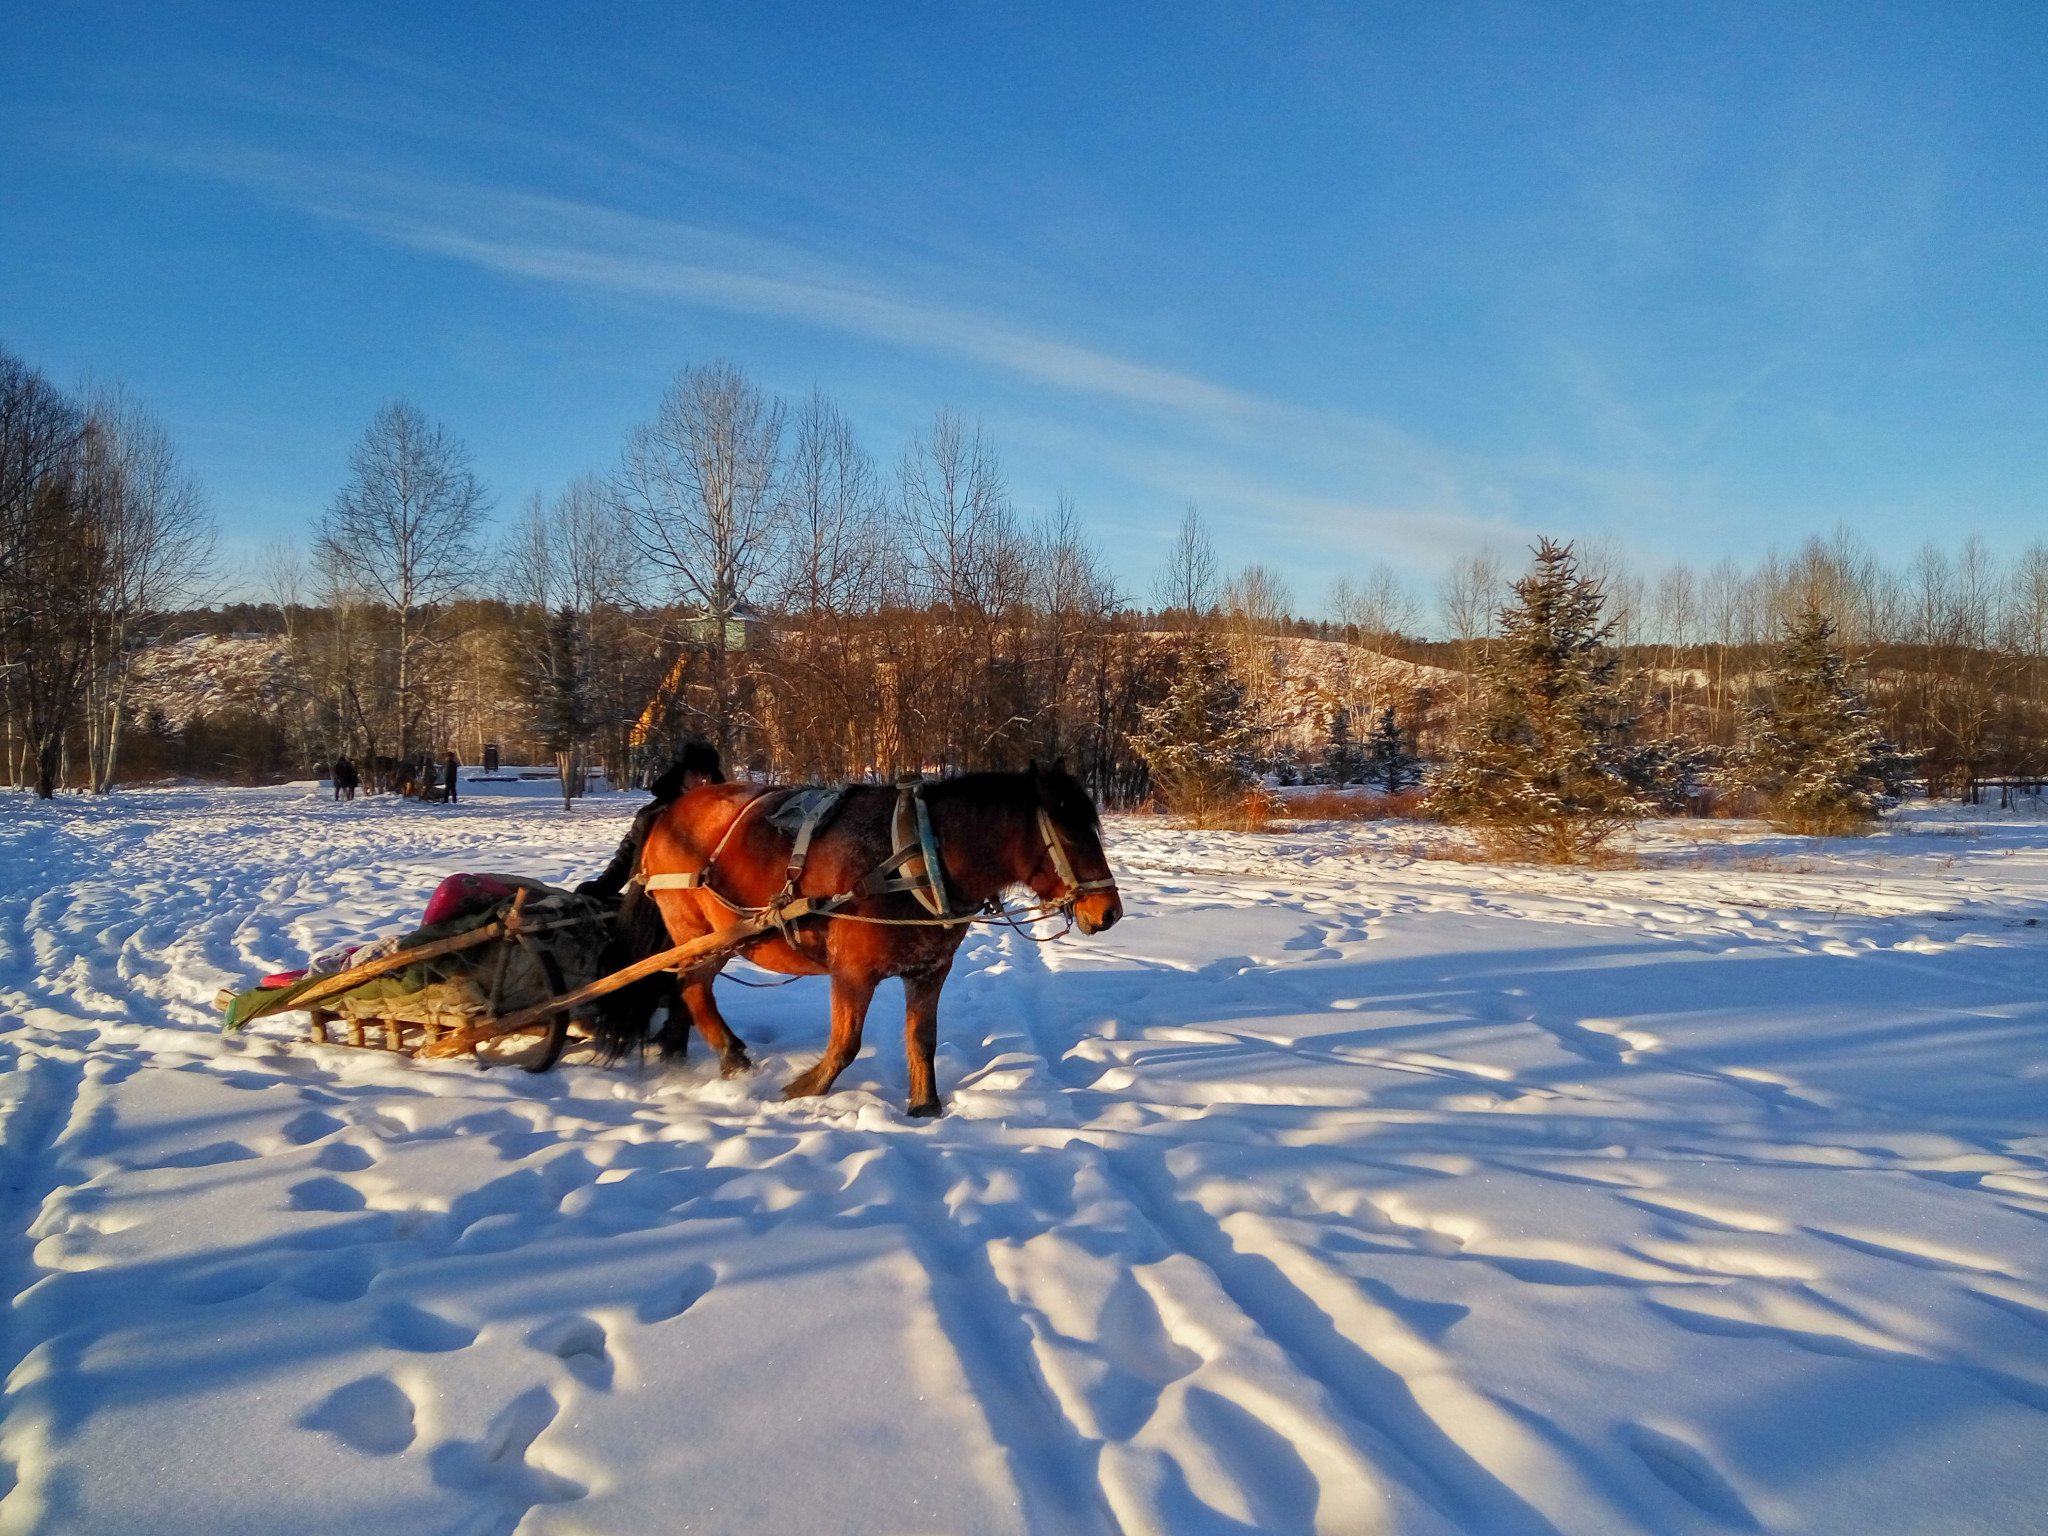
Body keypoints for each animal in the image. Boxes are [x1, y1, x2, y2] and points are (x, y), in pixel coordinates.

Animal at [614, 765, 1122, 1122]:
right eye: (1072, 833)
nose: (1109, 913)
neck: (917, 858)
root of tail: (668, 815)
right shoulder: (852, 972)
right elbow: (845, 1045)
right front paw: (801, 1092)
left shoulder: (929, 972)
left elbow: (921, 1040)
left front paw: (924, 1107)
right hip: (698, 933)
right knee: (692, 988)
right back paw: (731, 1059)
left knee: (687, 990)